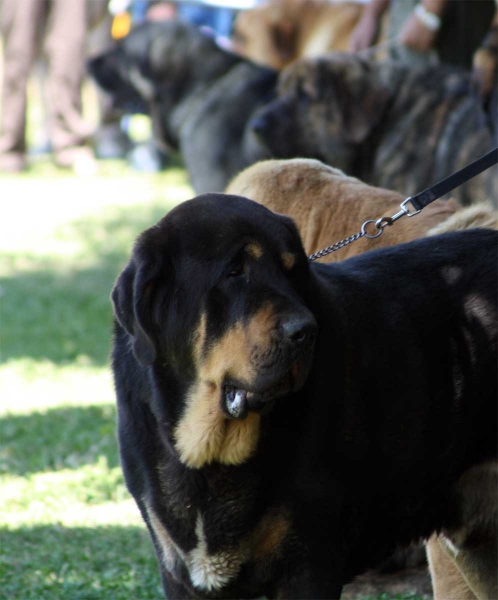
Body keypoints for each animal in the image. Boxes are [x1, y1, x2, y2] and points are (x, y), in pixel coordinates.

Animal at [113, 195, 498, 596]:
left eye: (290, 271)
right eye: (235, 272)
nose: (305, 331)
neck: (212, 456)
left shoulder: (309, 563)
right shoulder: (178, 573)